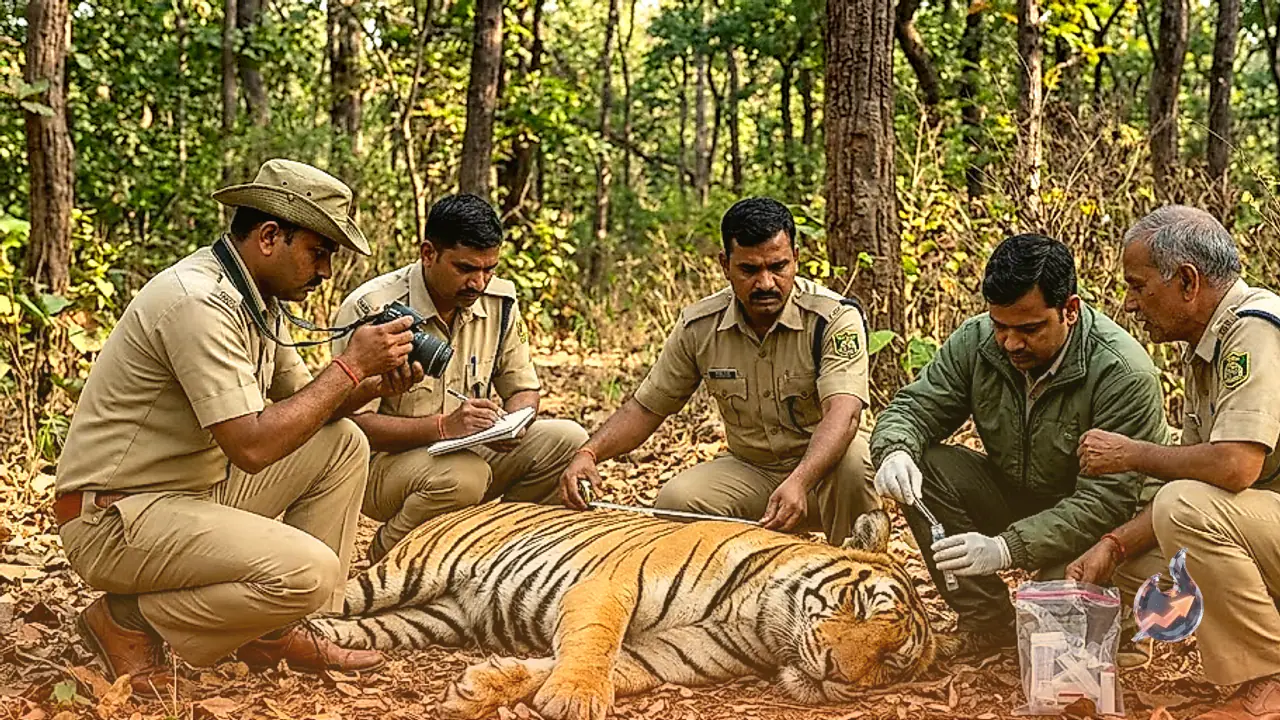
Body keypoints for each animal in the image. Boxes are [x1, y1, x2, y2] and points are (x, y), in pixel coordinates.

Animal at [311, 502, 955, 720]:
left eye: (891, 663)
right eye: (860, 606)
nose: (837, 673)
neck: (759, 621)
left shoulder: (668, 657)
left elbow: (602, 667)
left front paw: (484, 687)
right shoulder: (611, 584)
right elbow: (595, 643)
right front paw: (573, 699)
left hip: (428, 618)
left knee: (364, 627)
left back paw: (326, 640)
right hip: (405, 574)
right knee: (342, 592)